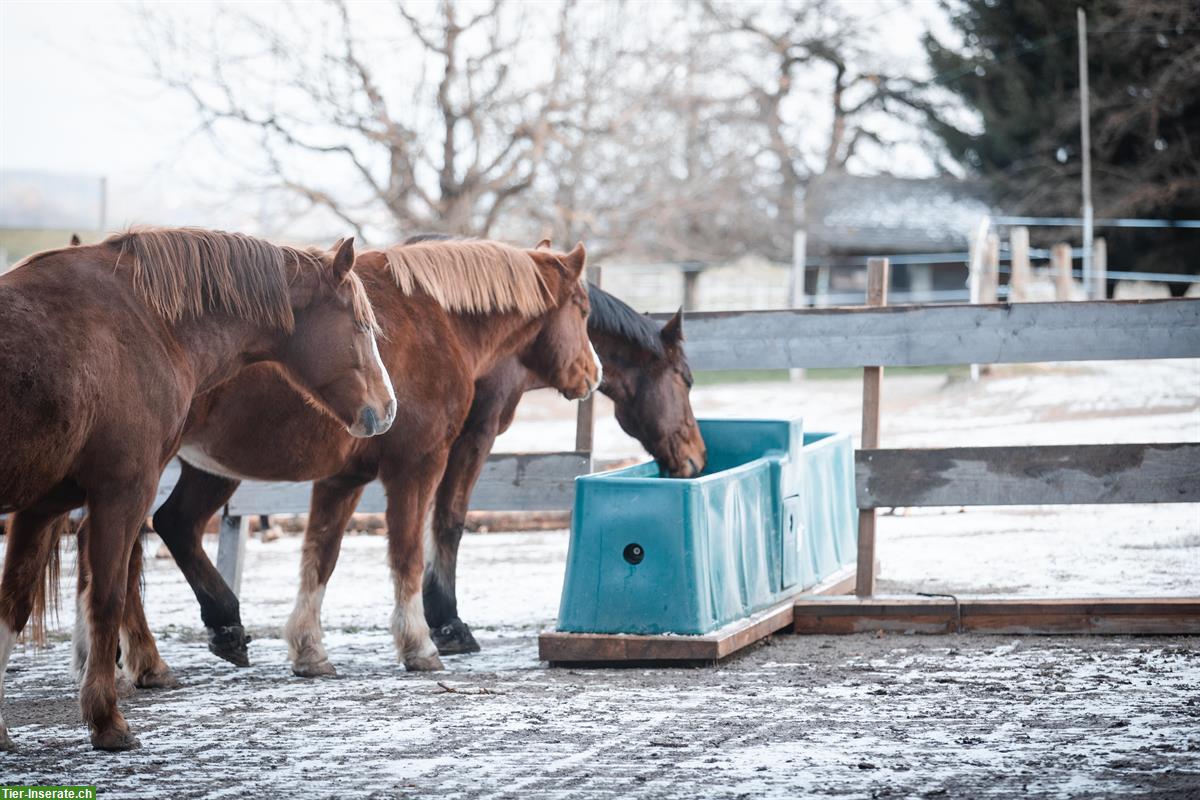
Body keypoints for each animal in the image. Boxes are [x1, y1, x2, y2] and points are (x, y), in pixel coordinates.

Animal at [0, 226, 393, 753]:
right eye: (361, 325)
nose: (387, 409)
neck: (145, 324)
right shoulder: (122, 492)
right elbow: (107, 597)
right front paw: (107, 721)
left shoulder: (43, 505)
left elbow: (14, 605)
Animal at [110, 239, 597, 681]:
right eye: (583, 309)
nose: (593, 373)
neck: (434, 321)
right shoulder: (418, 465)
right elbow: (409, 552)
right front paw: (420, 643)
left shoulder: (345, 478)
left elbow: (321, 555)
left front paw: (309, 649)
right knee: (135, 548)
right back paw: (153, 655)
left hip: (204, 470)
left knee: (172, 527)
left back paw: (204, 634)